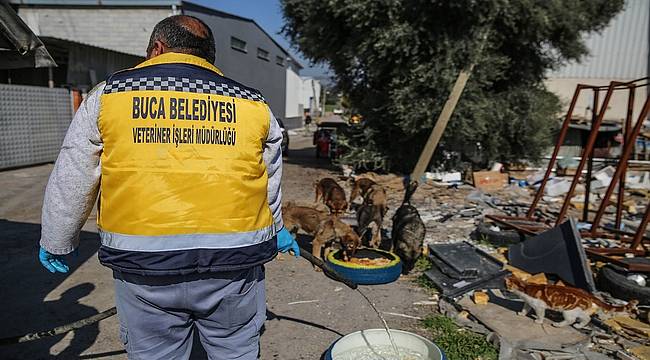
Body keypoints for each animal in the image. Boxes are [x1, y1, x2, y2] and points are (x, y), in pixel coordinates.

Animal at [504, 276, 636, 330]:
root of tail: (588, 294)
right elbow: (525, 308)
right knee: (587, 318)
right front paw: (522, 314)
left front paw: (538, 321)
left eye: (507, 285)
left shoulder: (539, 306)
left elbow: (540, 314)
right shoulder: (528, 303)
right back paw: (579, 326)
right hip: (578, 310)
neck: (526, 288)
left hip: (569, 311)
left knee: (571, 320)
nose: (505, 288)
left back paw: (558, 324)